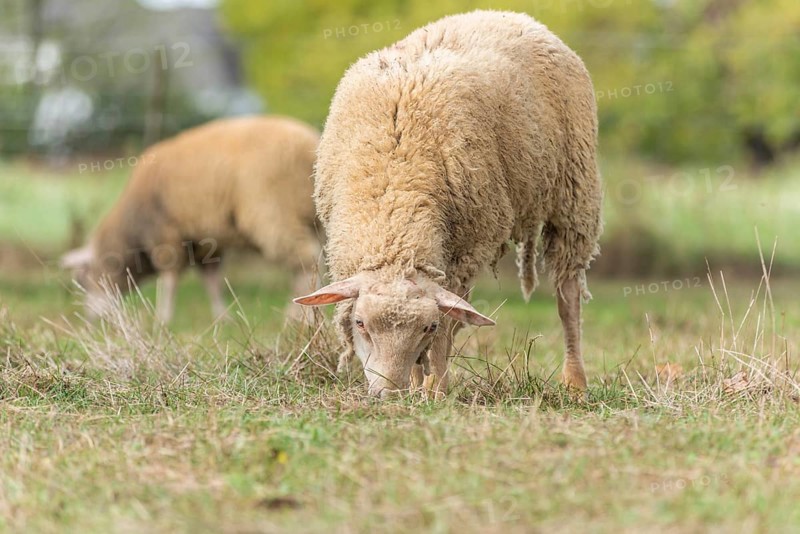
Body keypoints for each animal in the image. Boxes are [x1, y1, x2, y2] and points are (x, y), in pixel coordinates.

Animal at [61, 115, 322, 323]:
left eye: (83, 280)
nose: (91, 319)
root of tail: (308, 144)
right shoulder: (205, 244)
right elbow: (212, 282)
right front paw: (222, 317)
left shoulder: (165, 236)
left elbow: (169, 280)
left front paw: (163, 318)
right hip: (316, 215)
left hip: (273, 212)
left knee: (306, 258)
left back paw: (298, 315)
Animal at [294, 10, 603, 398]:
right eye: (360, 322)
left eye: (427, 328)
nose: (388, 393)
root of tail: (512, 15)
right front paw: (419, 385)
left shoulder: (467, 249)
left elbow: (445, 333)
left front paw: (435, 391)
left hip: (574, 197)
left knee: (568, 296)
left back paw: (574, 381)